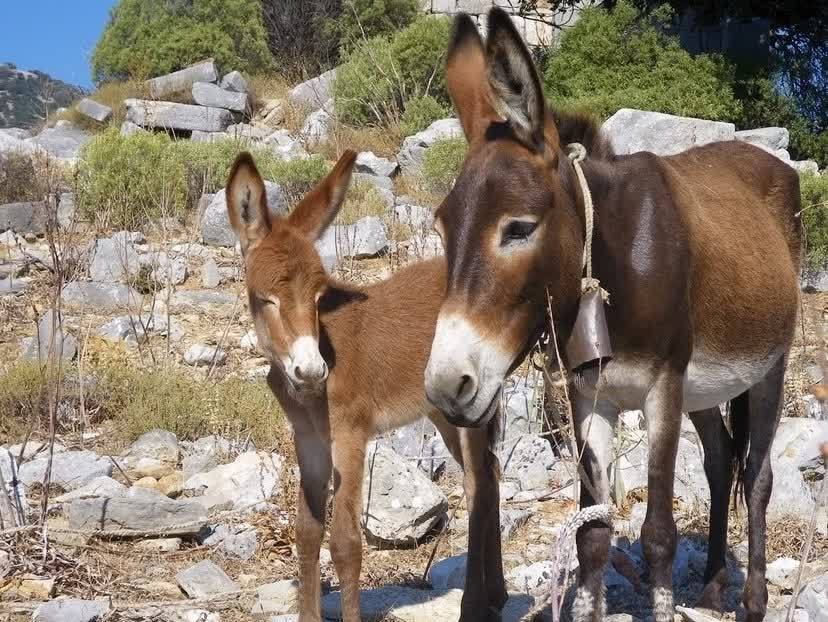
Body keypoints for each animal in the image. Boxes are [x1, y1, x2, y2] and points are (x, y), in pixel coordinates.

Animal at [225, 150, 506, 622]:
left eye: (318, 295)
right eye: (265, 299)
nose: (311, 371)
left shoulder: (350, 436)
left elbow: (345, 543)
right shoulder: (309, 440)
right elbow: (307, 532)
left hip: (470, 409)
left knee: (477, 486)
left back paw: (477, 602)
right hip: (443, 411)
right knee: (491, 474)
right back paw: (497, 594)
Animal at [422, 9, 801, 622]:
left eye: (518, 228)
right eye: (441, 227)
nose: (445, 386)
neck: (610, 259)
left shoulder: (663, 387)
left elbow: (658, 535)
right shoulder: (589, 395)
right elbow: (592, 535)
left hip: (769, 366)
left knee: (757, 475)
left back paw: (753, 601)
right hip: (706, 387)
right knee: (721, 460)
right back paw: (713, 586)